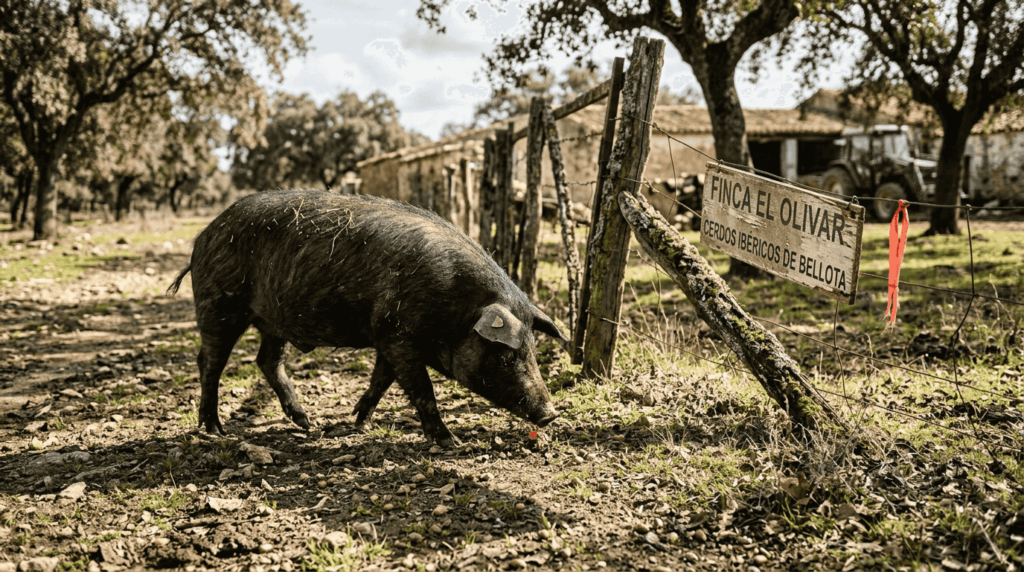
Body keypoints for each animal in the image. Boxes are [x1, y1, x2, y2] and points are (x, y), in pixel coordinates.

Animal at [168, 190, 565, 446]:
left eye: (533, 350)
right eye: (507, 355)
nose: (550, 414)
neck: (454, 304)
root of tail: (202, 237)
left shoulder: (386, 336)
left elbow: (381, 380)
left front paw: (358, 422)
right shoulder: (398, 334)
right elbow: (422, 389)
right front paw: (452, 442)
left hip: (272, 320)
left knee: (266, 361)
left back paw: (307, 424)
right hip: (219, 304)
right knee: (210, 361)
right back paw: (215, 431)